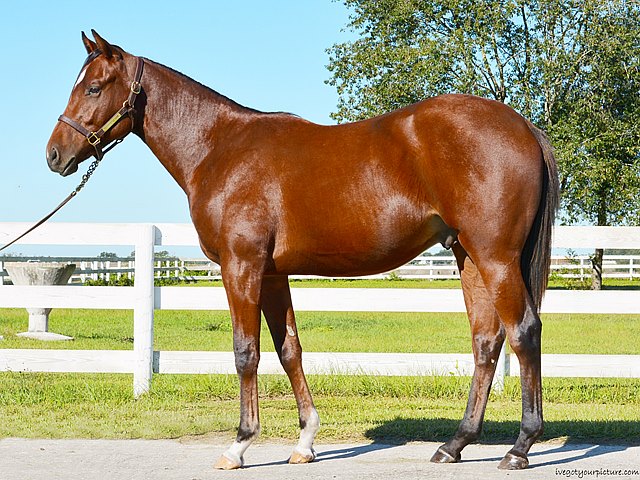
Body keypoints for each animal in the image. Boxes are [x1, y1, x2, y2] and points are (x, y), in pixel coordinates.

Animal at [46, 31, 559, 470]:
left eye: (93, 88)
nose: (54, 155)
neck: (218, 148)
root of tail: (524, 126)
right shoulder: (273, 274)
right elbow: (288, 348)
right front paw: (306, 441)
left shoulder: (241, 267)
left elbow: (246, 352)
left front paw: (239, 444)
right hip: (468, 256)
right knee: (486, 341)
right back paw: (455, 444)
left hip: (495, 257)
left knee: (524, 332)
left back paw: (520, 447)